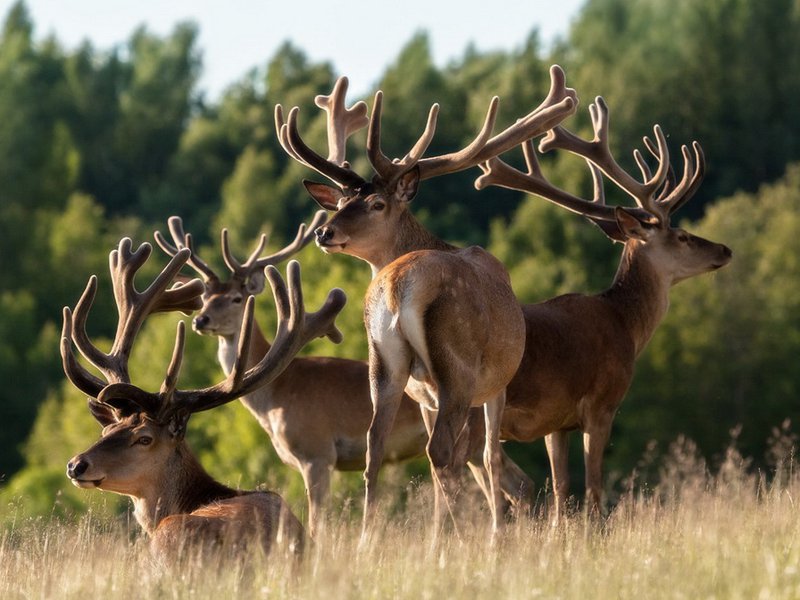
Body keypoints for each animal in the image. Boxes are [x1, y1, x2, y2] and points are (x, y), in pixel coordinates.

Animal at [154, 212, 434, 540]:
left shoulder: (317, 451)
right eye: (205, 297)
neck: (277, 395)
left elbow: (317, 521)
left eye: (237, 298)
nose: (201, 320)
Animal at [274, 68, 576, 536]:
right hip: (458, 366)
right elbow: (488, 457)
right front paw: (495, 534)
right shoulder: (496, 383)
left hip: (385, 362)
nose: (324, 232)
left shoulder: (425, 396)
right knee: (443, 454)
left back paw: (369, 539)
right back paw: (460, 538)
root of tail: (399, 286)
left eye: (375, 203)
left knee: (376, 447)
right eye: (342, 201)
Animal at [476, 96, 732, 516]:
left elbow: (561, 488)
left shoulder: (557, 422)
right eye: (681, 236)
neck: (625, 326)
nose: (724, 249)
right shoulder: (602, 403)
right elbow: (594, 489)